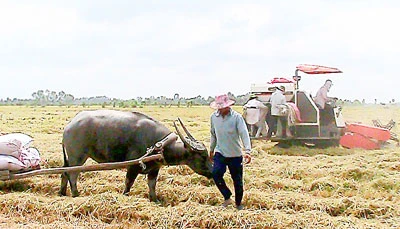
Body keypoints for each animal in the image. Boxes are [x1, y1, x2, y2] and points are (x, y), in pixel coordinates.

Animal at [59, 110, 212, 201]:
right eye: (203, 156)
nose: (212, 171)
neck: (159, 145)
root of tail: (69, 125)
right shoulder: (132, 167)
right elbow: (128, 183)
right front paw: (125, 195)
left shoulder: (154, 169)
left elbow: (152, 185)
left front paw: (154, 199)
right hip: (77, 157)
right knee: (72, 175)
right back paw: (76, 194)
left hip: (70, 159)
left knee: (64, 173)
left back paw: (62, 192)